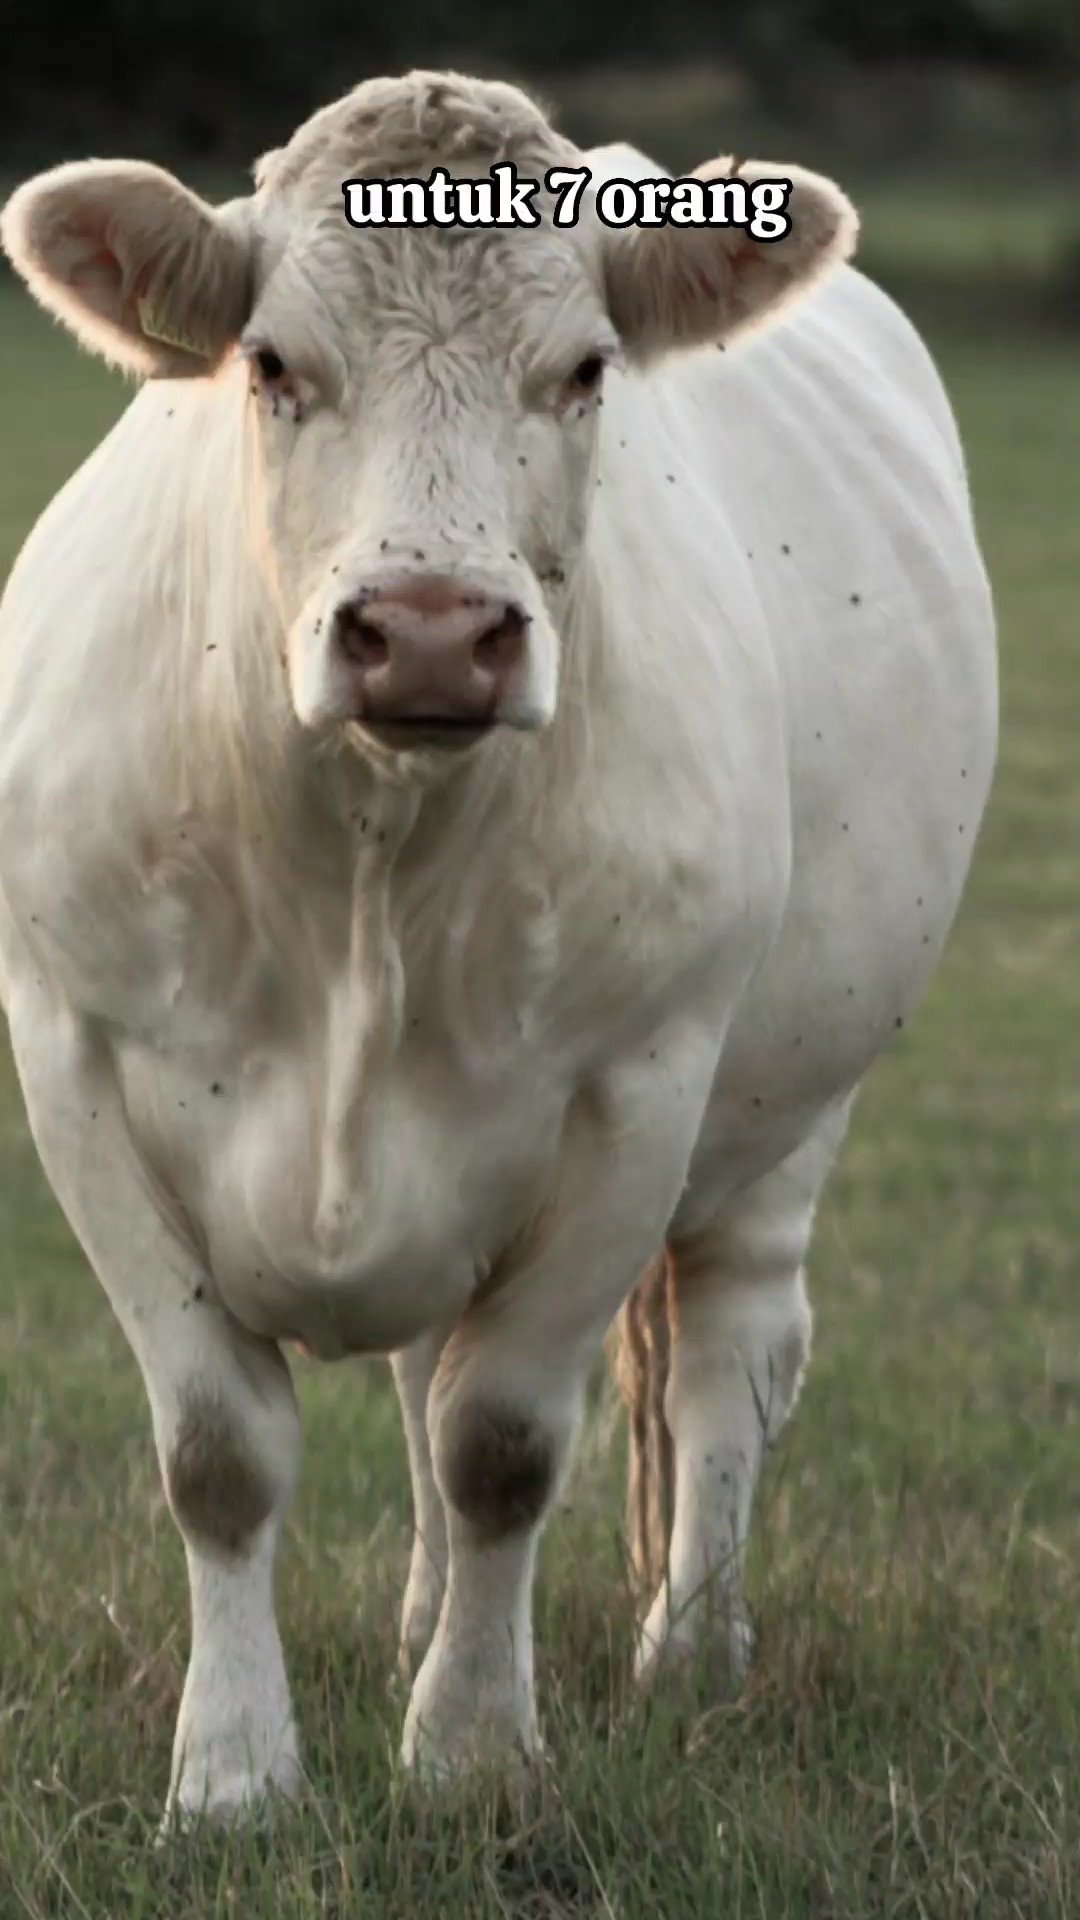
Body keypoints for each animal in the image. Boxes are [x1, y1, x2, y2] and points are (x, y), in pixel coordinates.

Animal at [0, 70, 997, 1826]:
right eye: (272, 362)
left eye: (586, 369)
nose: (431, 634)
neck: (366, 854)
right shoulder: (75, 1058)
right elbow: (221, 1452)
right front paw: (236, 1776)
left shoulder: (636, 1090)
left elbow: (505, 1445)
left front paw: (467, 1753)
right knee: (430, 1371)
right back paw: (421, 1627)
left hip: (797, 1099)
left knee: (731, 1346)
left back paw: (691, 1653)